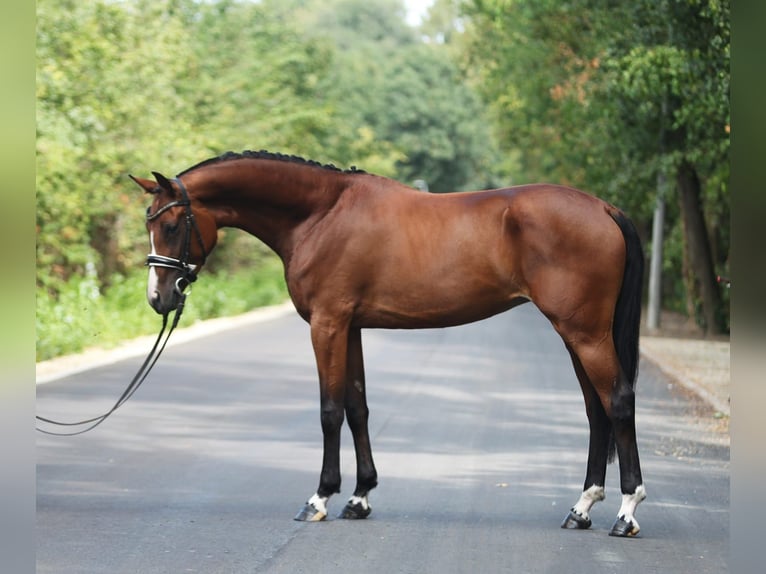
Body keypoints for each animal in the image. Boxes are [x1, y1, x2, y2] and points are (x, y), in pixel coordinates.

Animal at [132, 151, 648, 536]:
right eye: (149, 224)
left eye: (173, 226)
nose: (159, 298)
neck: (321, 214)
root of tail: (603, 208)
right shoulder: (351, 328)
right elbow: (358, 407)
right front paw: (359, 498)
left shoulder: (327, 325)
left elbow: (330, 410)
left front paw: (319, 498)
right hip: (576, 334)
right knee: (596, 411)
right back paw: (581, 509)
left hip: (585, 333)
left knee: (618, 401)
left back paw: (626, 512)